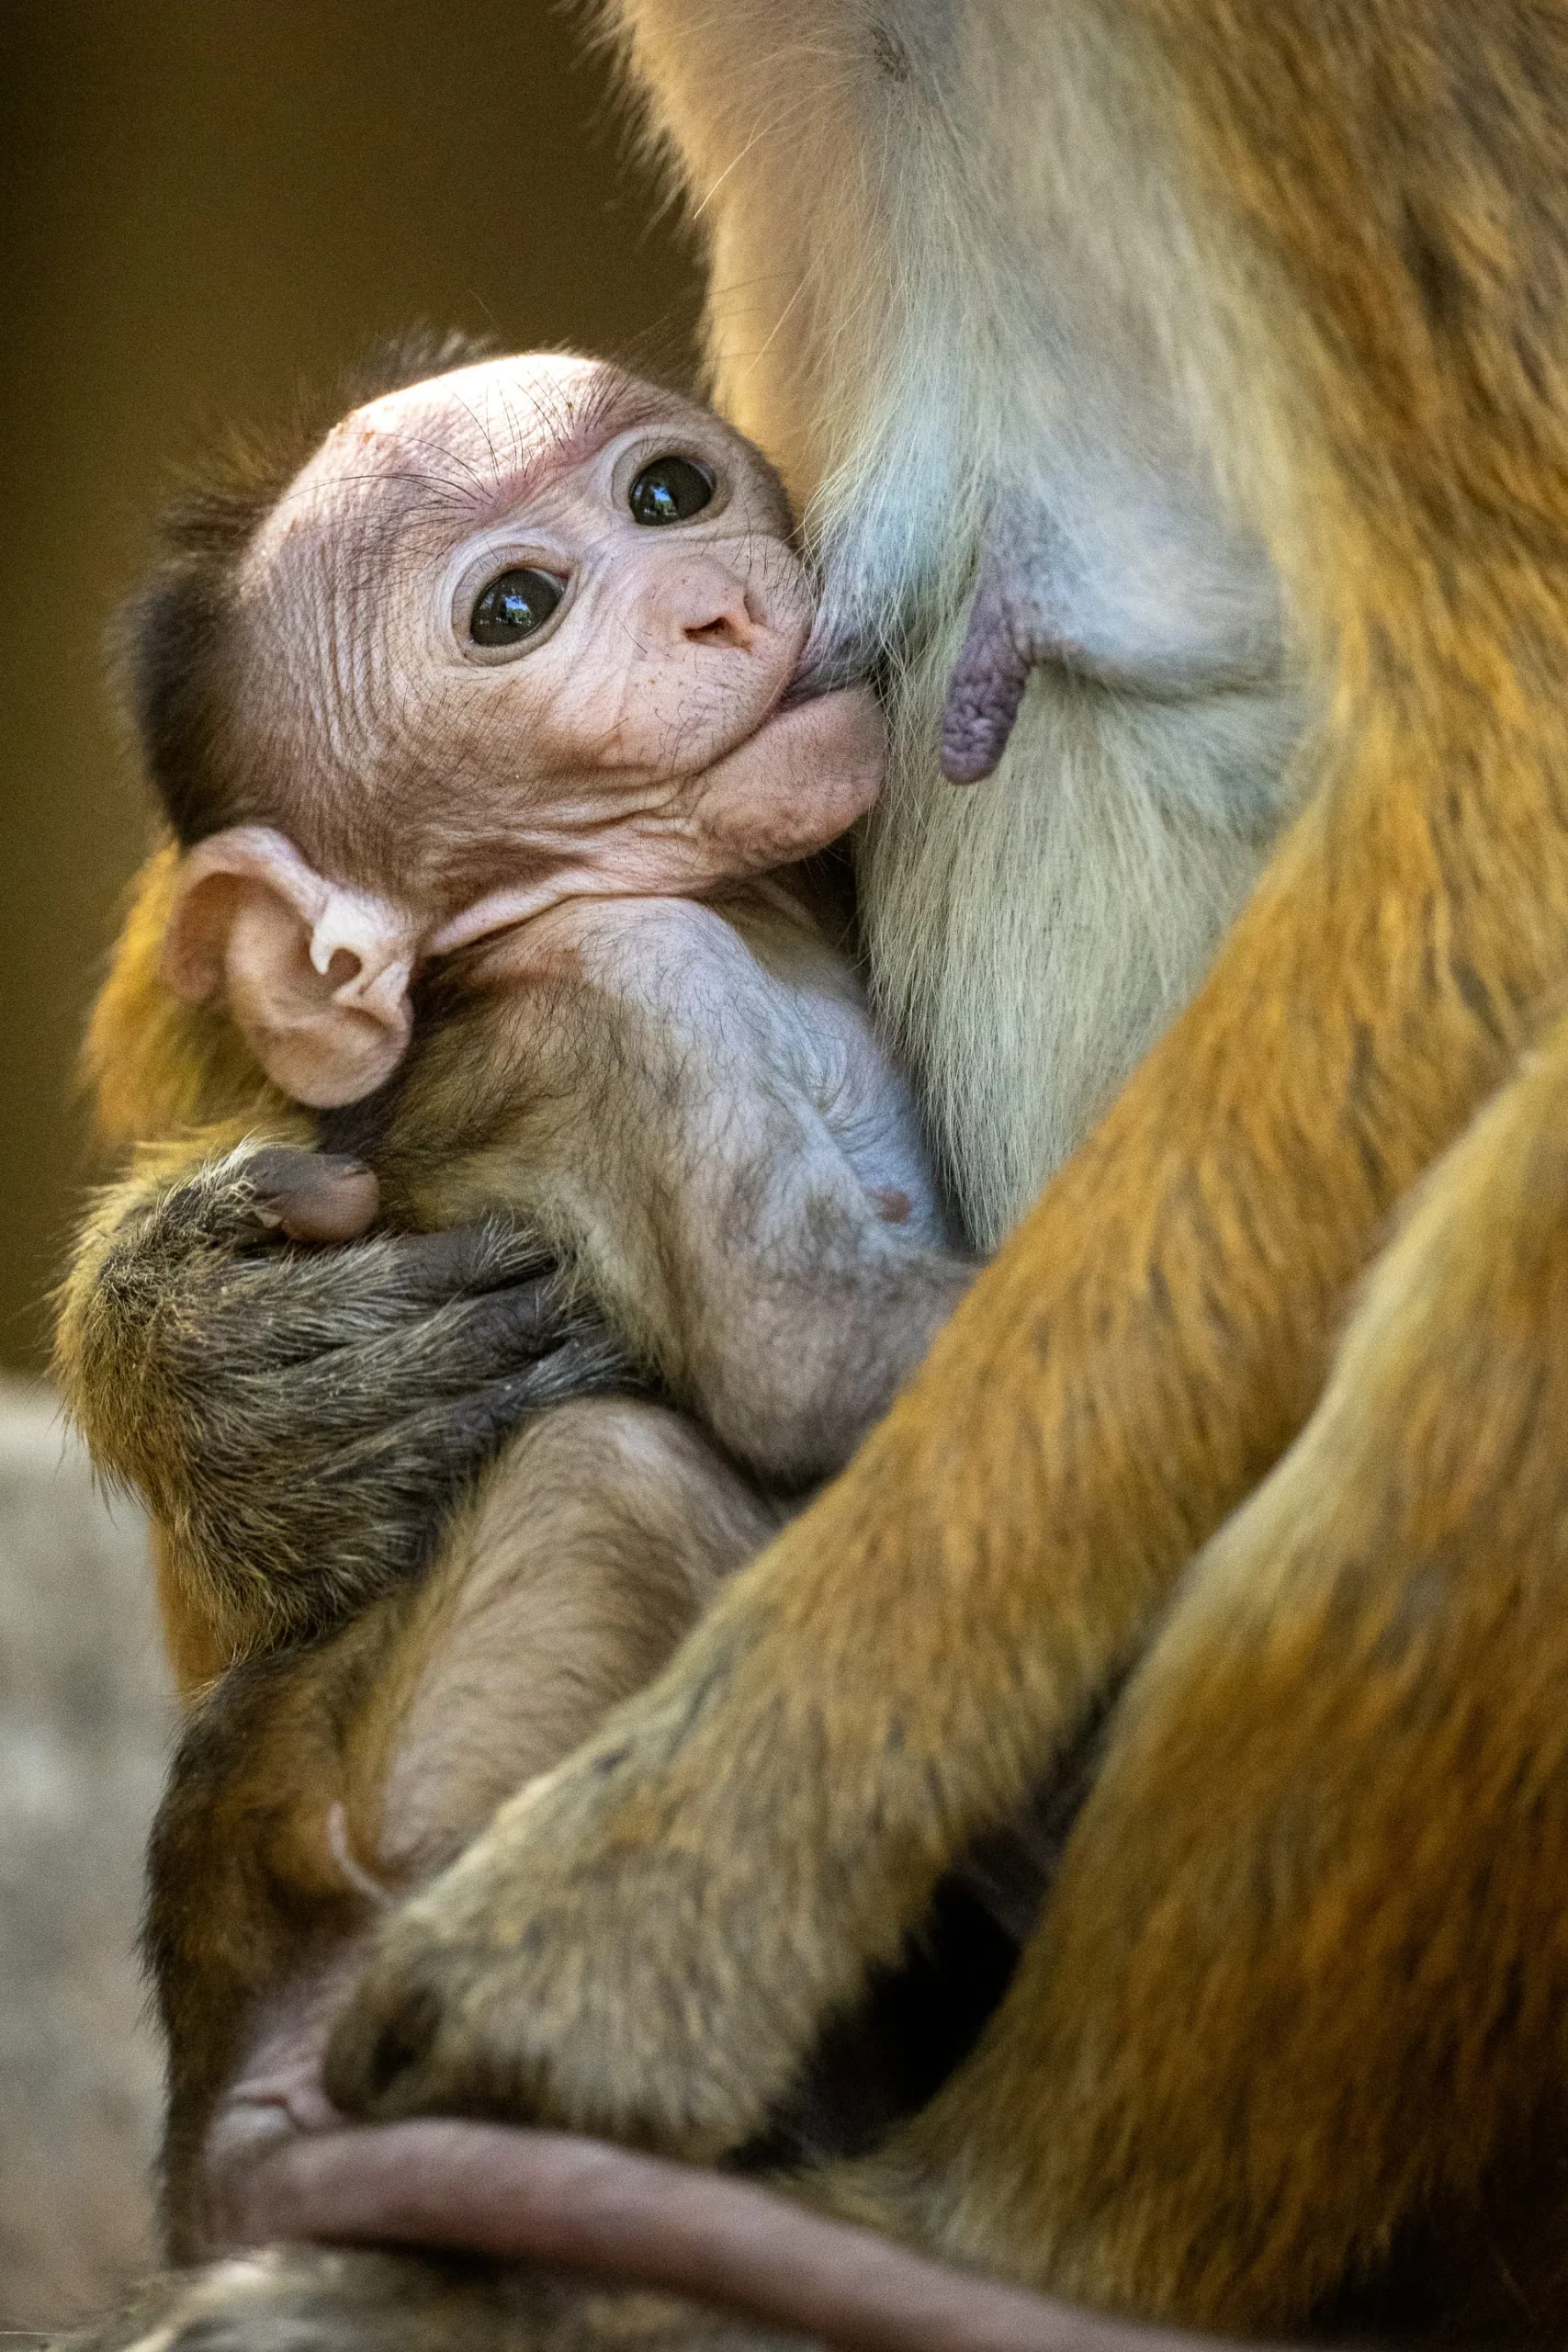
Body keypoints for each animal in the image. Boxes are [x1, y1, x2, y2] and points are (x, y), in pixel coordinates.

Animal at [51, 0, 1568, 2343]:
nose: (708, 601)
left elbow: (1503, 781)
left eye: (667, 488)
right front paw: (217, 1367)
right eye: (515, 608)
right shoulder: (639, 1001)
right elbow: (777, 1337)